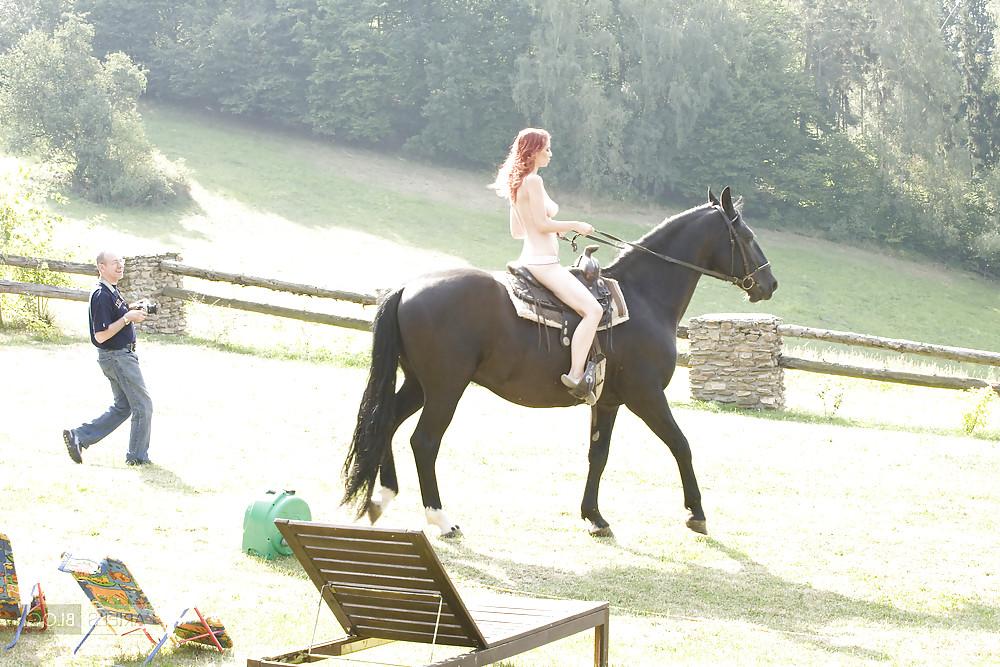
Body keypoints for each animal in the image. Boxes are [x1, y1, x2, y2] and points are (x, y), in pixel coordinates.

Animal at [341, 186, 778, 538]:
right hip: (446, 388)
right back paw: (441, 519)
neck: (644, 297)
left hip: (418, 383)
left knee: (386, 423)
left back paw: (382, 497)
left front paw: (595, 517)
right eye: (748, 236)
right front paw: (696, 513)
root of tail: (407, 287)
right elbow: (681, 444)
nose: (770, 284)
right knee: (424, 441)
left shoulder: (608, 401)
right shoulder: (647, 395)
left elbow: (598, 455)